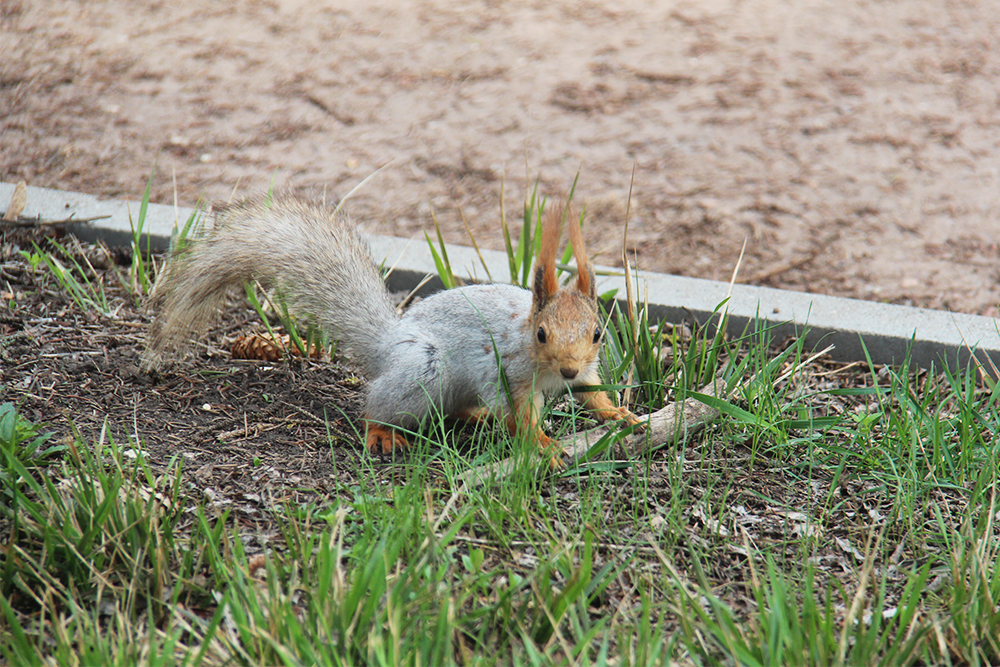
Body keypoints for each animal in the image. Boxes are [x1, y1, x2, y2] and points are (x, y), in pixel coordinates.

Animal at [146, 196, 640, 468]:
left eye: (598, 333)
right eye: (541, 334)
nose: (569, 369)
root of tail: (386, 343)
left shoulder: (590, 371)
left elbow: (595, 396)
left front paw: (621, 415)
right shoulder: (507, 373)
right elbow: (520, 416)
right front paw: (544, 444)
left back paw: (475, 417)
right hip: (424, 367)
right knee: (375, 406)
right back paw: (381, 432)